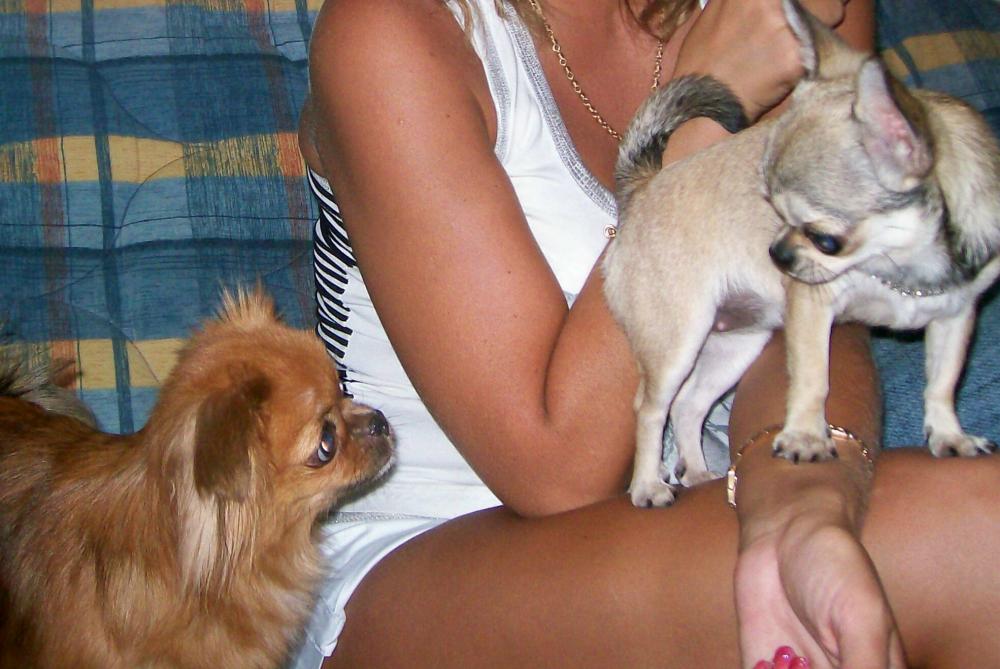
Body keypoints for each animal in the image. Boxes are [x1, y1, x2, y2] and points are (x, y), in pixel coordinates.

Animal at [602, 0, 1000, 507]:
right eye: (771, 208)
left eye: (824, 238)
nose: (776, 254)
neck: (902, 264)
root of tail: (644, 186)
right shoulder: (812, 307)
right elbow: (813, 376)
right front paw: (807, 438)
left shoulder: (955, 317)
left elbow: (943, 382)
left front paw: (949, 436)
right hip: (678, 342)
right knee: (652, 409)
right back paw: (649, 485)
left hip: (737, 343)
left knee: (690, 405)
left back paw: (697, 472)